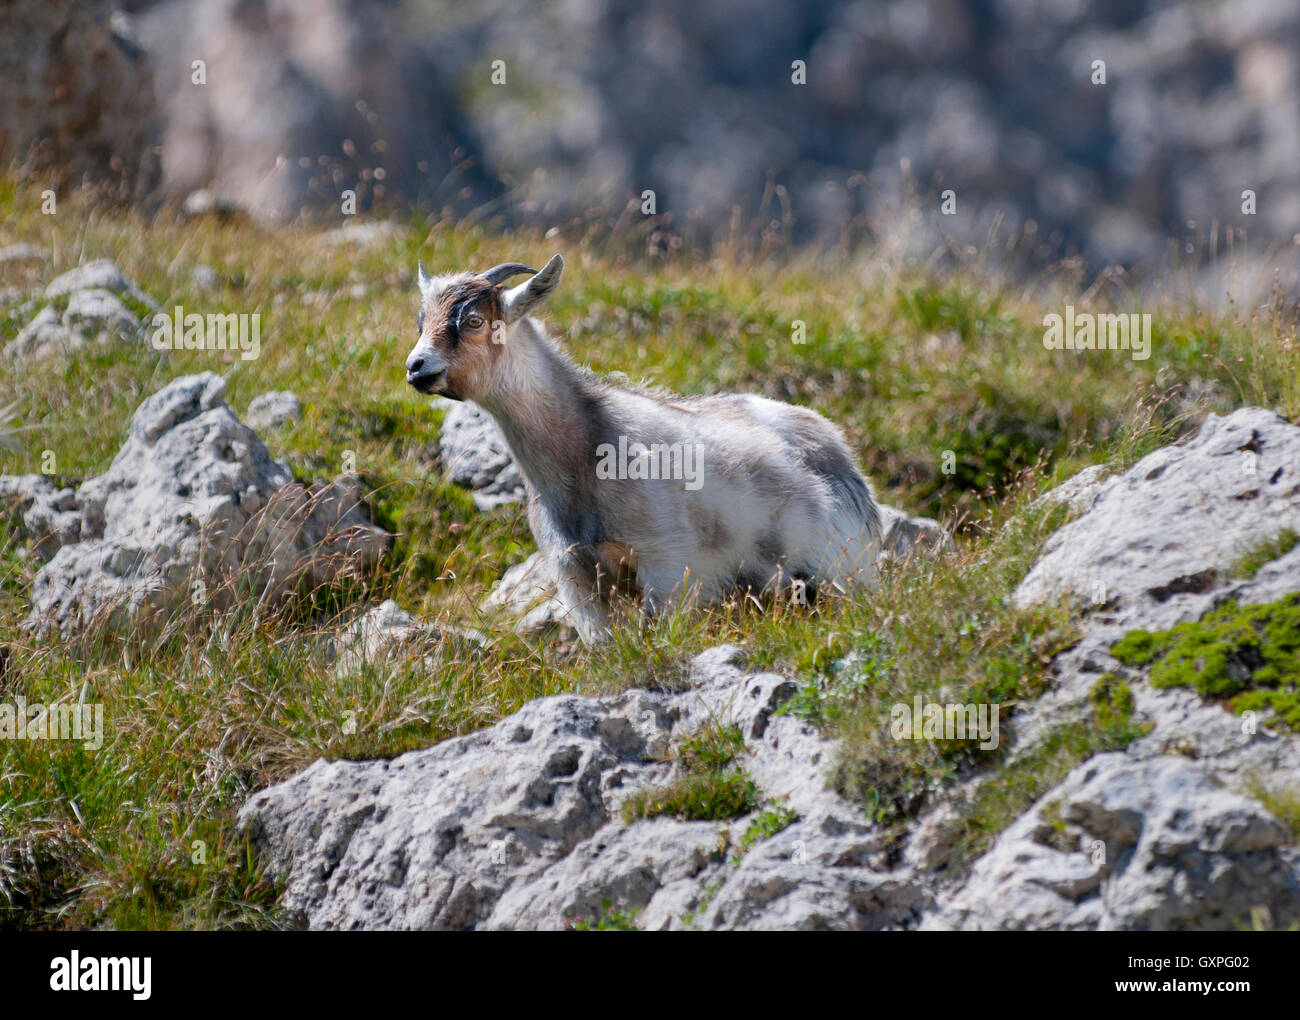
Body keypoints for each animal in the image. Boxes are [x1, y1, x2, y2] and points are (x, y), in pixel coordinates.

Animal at [405, 253, 883, 636]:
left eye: (474, 322)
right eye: (422, 321)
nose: (416, 367)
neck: (585, 449)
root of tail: (839, 452)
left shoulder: (665, 562)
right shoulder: (575, 575)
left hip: (835, 567)